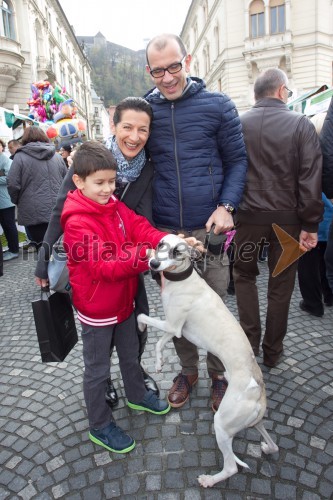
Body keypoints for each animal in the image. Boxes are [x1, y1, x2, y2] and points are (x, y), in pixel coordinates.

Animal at [137, 234, 278, 488]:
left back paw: (209, 480)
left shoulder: (171, 324)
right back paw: (266, 448)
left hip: (222, 422)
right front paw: (159, 363)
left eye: (178, 252)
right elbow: (160, 343)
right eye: (161, 244)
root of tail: (259, 392)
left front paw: (142, 328)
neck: (183, 280)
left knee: (232, 466)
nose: (153, 264)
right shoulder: (175, 329)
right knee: (274, 445)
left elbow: (142, 317)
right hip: (254, 422)